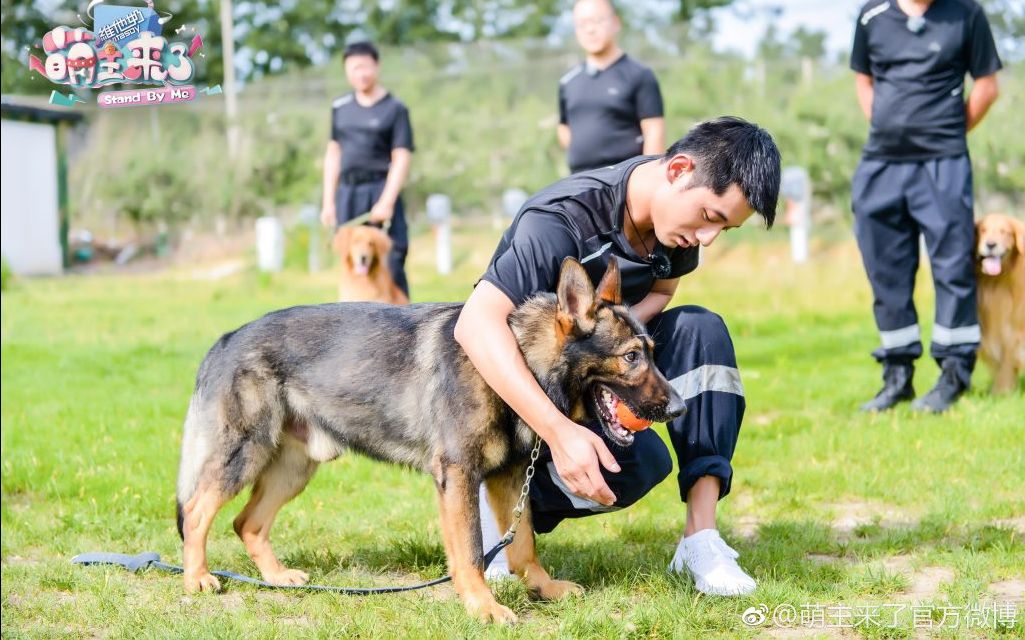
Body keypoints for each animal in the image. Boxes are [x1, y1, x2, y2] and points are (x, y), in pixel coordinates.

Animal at [174, 257, 688, 623]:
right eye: (631, 357)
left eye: (652, 353)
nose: (680, 408)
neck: (518, 361)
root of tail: (227, 338)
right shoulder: (459, 477)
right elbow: (471, 551)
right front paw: (483, 606)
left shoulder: (507, 480)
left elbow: (523, 543)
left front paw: (542, 588)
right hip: (245, 454)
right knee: (198, 510)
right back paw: (197, 578)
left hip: (292, 469)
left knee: (247, 522)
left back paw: (277, 577)